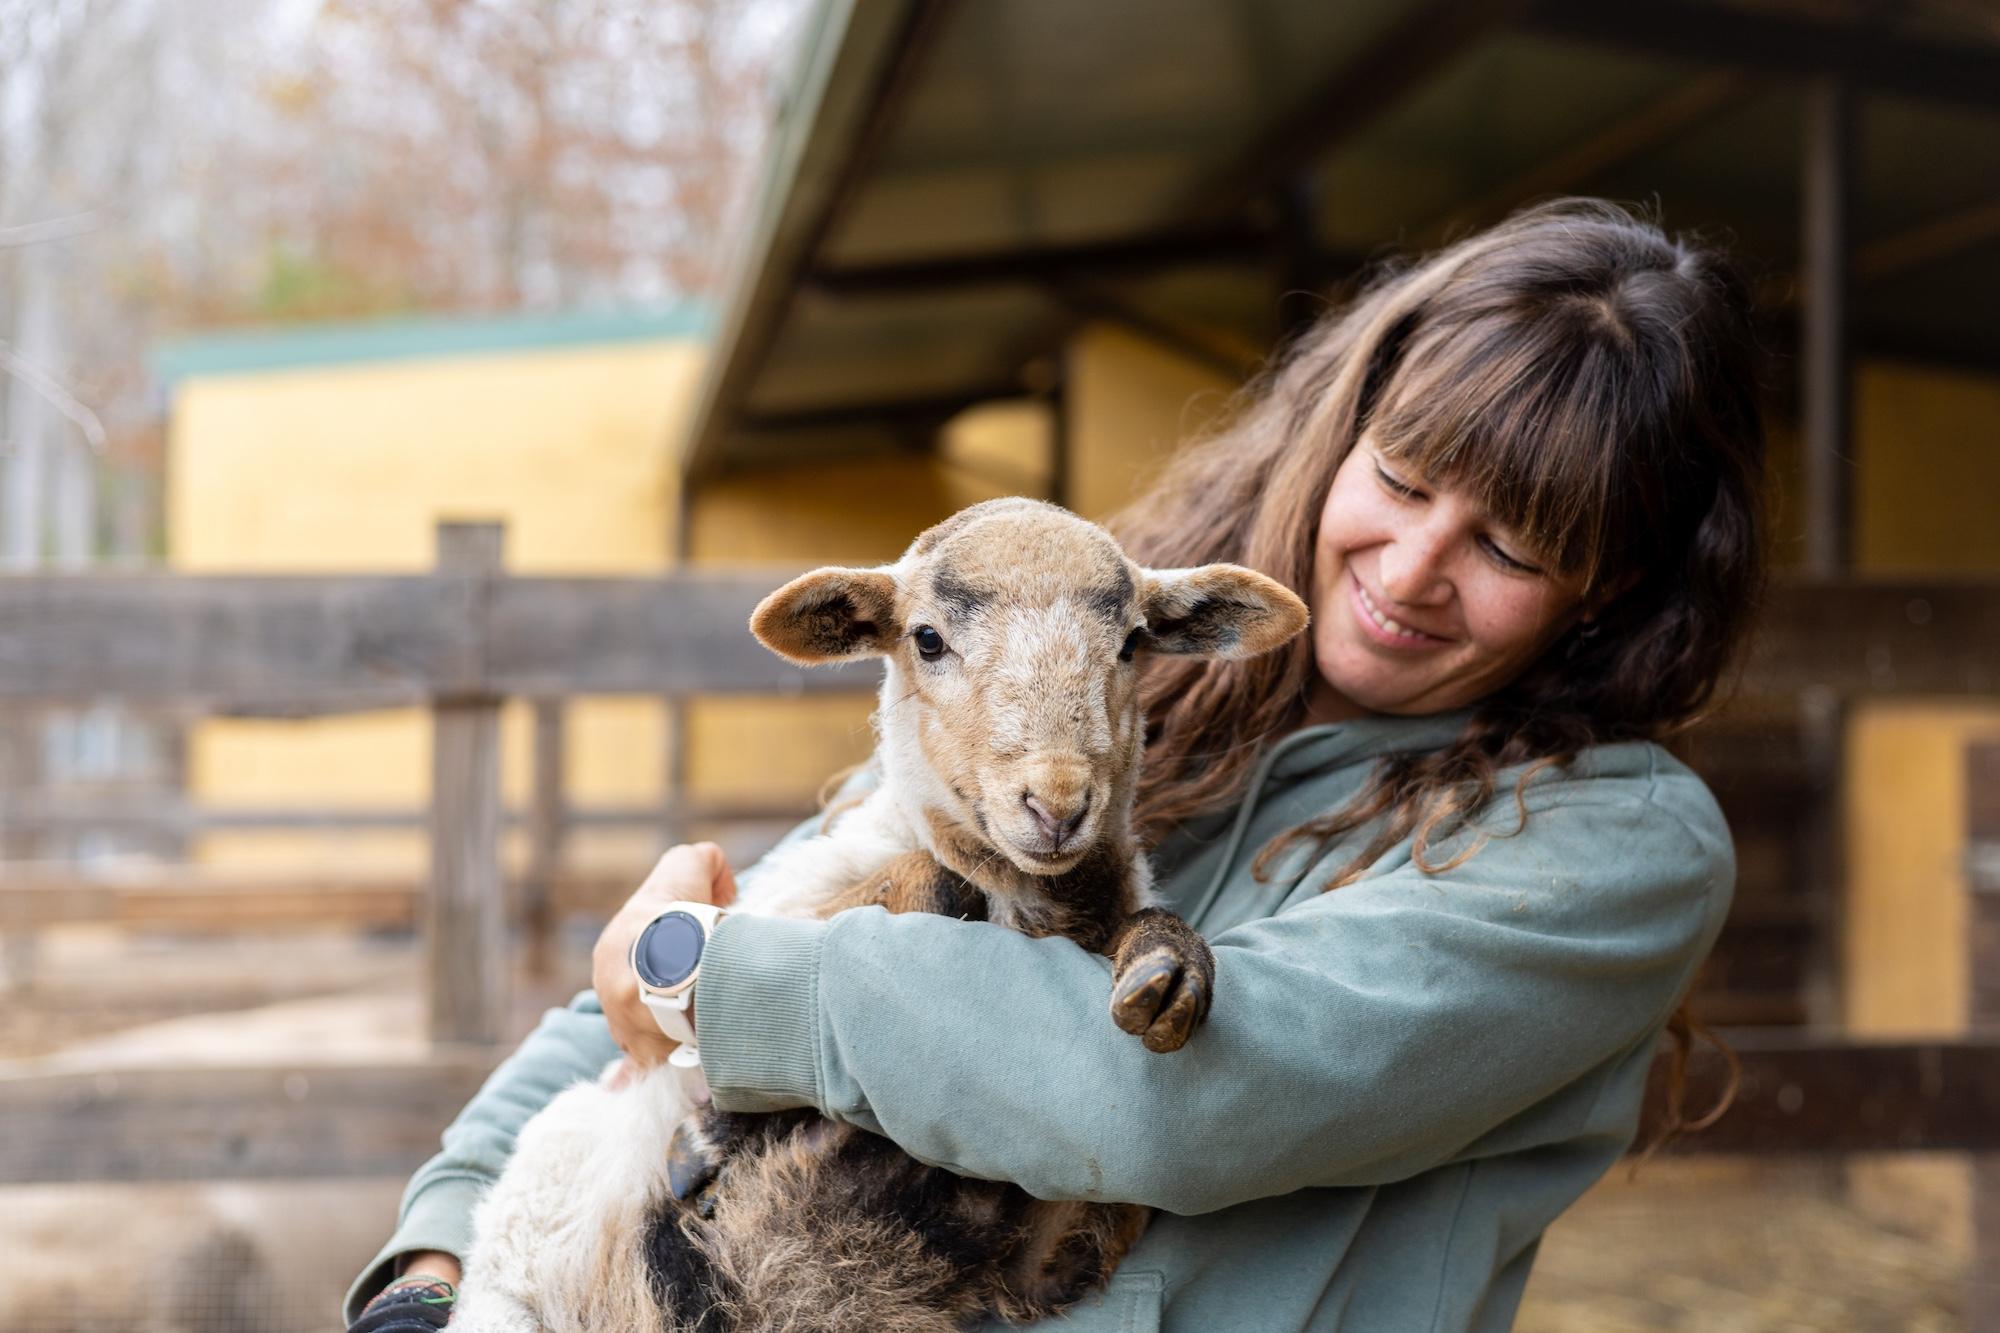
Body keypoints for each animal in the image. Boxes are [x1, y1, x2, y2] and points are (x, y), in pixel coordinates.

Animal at [449, 497, 1308, 1333]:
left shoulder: (1049, 1246)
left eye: (1132, 643)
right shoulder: (789, 899)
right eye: (926, 638)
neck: (1036, 905)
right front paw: (709, 1136)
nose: (1058, 804)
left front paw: (1168, 970)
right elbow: (939, 884)